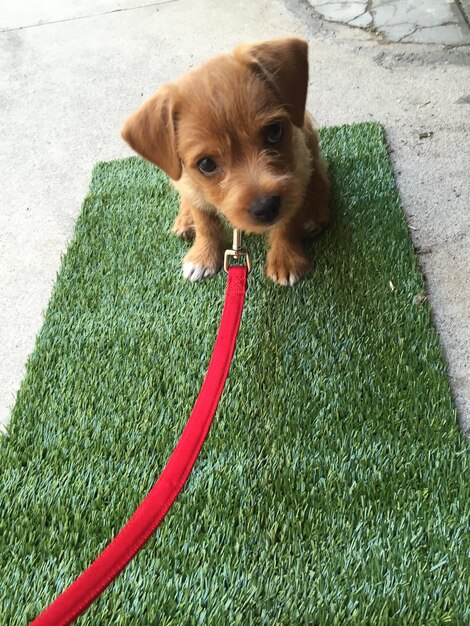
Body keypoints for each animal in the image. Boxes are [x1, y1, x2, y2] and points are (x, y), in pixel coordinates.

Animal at [123, 36, 332, 286]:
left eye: (274, 131)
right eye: (206, 164)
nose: (266, 207)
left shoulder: (296, 172)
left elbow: (288, 221)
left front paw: (286, 259)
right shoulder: (193, 185)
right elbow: (205, 222)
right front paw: (202, 256)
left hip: (307, 138)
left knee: (320, 173)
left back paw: (314, 212)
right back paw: (185, 220)